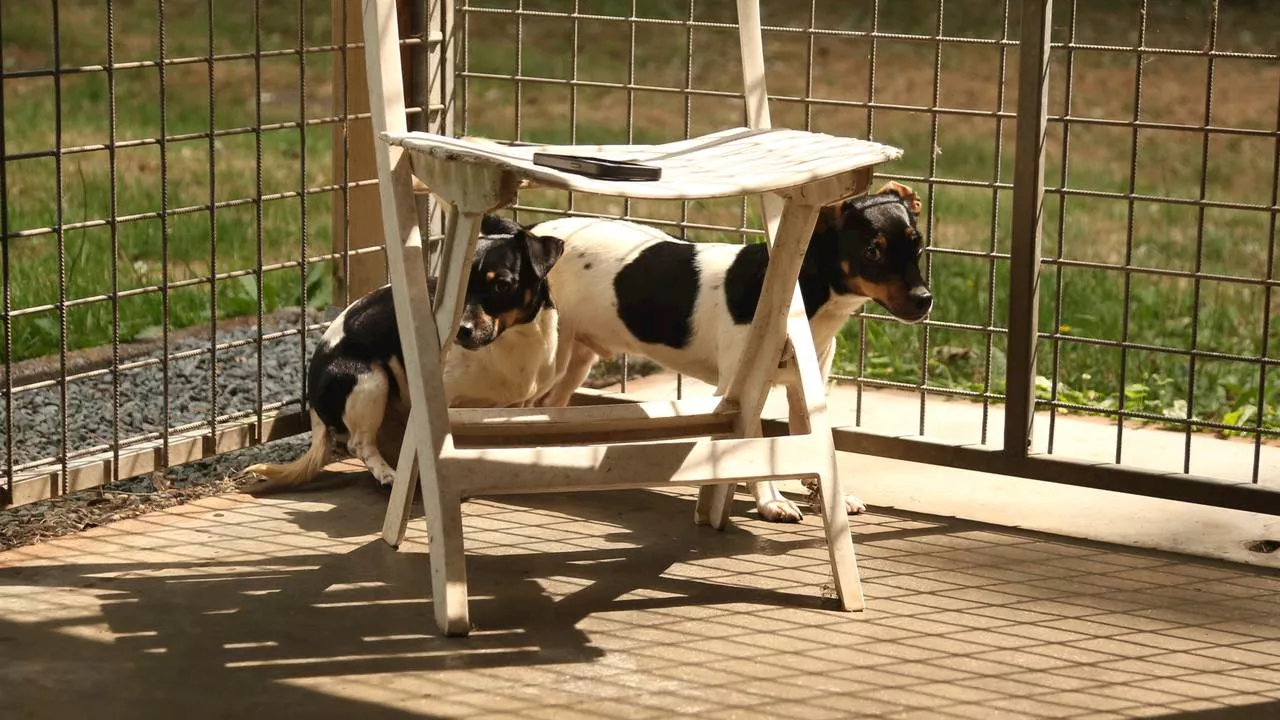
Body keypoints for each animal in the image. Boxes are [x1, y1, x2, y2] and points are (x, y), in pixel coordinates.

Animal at [245, 215, 565, 489]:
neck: (515, 341)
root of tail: (313, 406)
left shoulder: (516, 407)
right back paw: (386, 473)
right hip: (369, 380)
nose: (461, 331)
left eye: (502, 285)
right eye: (460, 290)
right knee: (358, 443)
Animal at [529, 181, 931, 520]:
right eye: (871, 252)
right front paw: (772, 503)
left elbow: (815, 444)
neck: (803, 297)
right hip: (548, 362)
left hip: (575, 361)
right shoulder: (741, 391)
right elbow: (754, 450)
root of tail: (530, 231)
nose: (925, 300)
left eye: (919, 245)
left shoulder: (803, 389)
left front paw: (831, 497)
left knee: (550, 407)